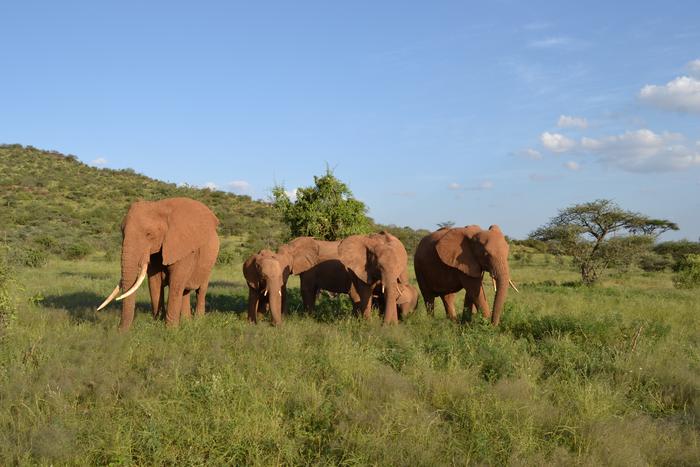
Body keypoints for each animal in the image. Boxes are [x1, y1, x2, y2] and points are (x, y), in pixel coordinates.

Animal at [96, 197, 219, 330]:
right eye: (122, 232)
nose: (118, 331)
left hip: (209, 263)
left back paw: (198, 321)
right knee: (185, 291)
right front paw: (157, 323)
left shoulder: (183, 248)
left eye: (149, 234)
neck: (159, 206)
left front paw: (171, 330)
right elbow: (155, 282)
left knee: (200, 290)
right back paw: (187, 322)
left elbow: (176, 282)